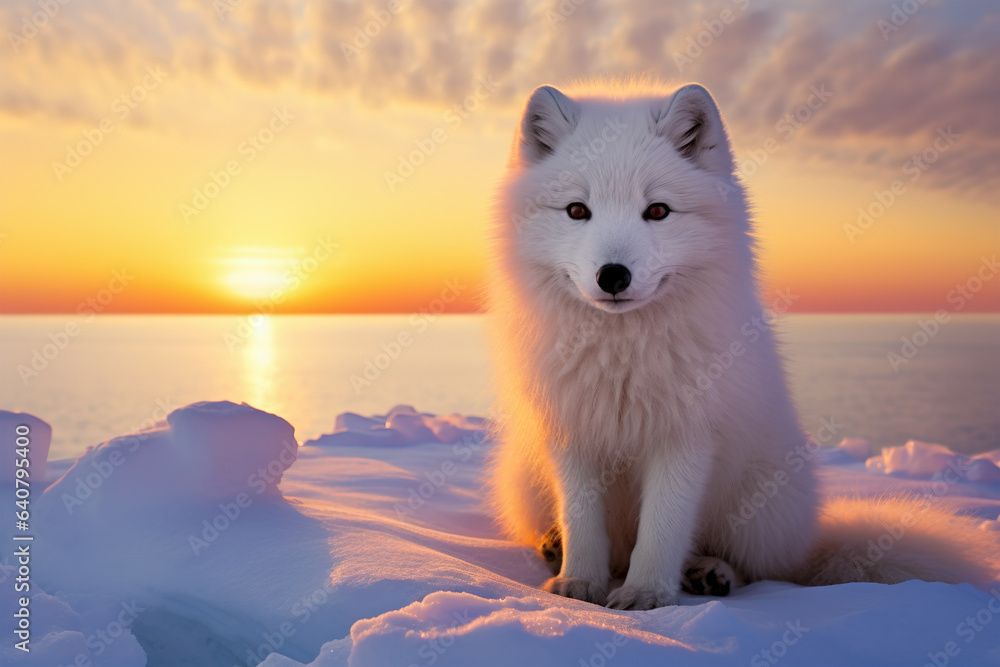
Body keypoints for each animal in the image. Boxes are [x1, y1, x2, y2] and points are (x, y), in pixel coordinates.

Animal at [486, 79, 1000, 612]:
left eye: (657, 211)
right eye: (576, 211)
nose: (613, 275)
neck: (622, 356)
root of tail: (809, 543)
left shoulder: (688, 437)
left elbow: (664, 529)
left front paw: (646, 594)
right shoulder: (571, 435)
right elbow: (584, 523)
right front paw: (580, 585)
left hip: (756, 503)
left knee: (757, 569)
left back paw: (711, 574)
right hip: (524, 479)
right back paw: (555, 547)